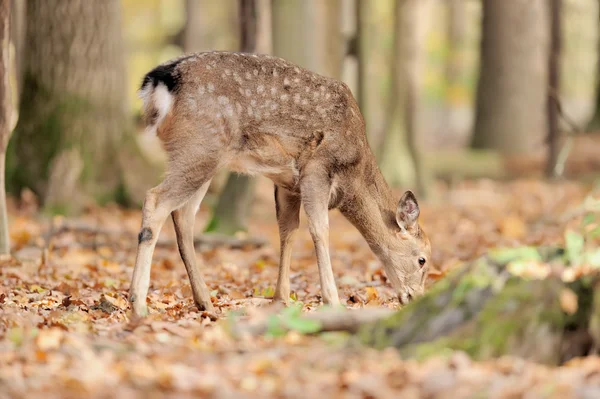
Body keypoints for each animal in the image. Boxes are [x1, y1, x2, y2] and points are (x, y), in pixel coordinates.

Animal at [130, 51, 432, 318]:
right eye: (422, 259)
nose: (415, 297)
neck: (354, 175)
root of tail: (159, 81)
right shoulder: (317, 169)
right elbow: (319, 229)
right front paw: (332, 301)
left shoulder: (288, 184)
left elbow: (288, 231)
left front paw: (281, 298)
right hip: (201, 146)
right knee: (155, 199)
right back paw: (138, 303)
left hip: (203, 156)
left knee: (183, 215)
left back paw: (204, 301)